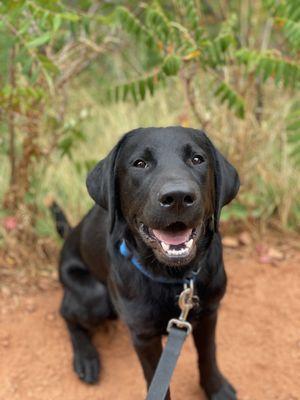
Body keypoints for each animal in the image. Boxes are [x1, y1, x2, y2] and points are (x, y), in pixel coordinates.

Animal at [54, 127, 240, 400]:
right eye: (140, 163)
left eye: (197, 159)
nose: (178, 197)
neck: (174, 277)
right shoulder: (144, 337)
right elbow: (157, 381)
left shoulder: (209, 313)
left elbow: (208, 354)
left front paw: (216, 389)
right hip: (94, 296)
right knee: (66, 312)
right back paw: (85, 358)